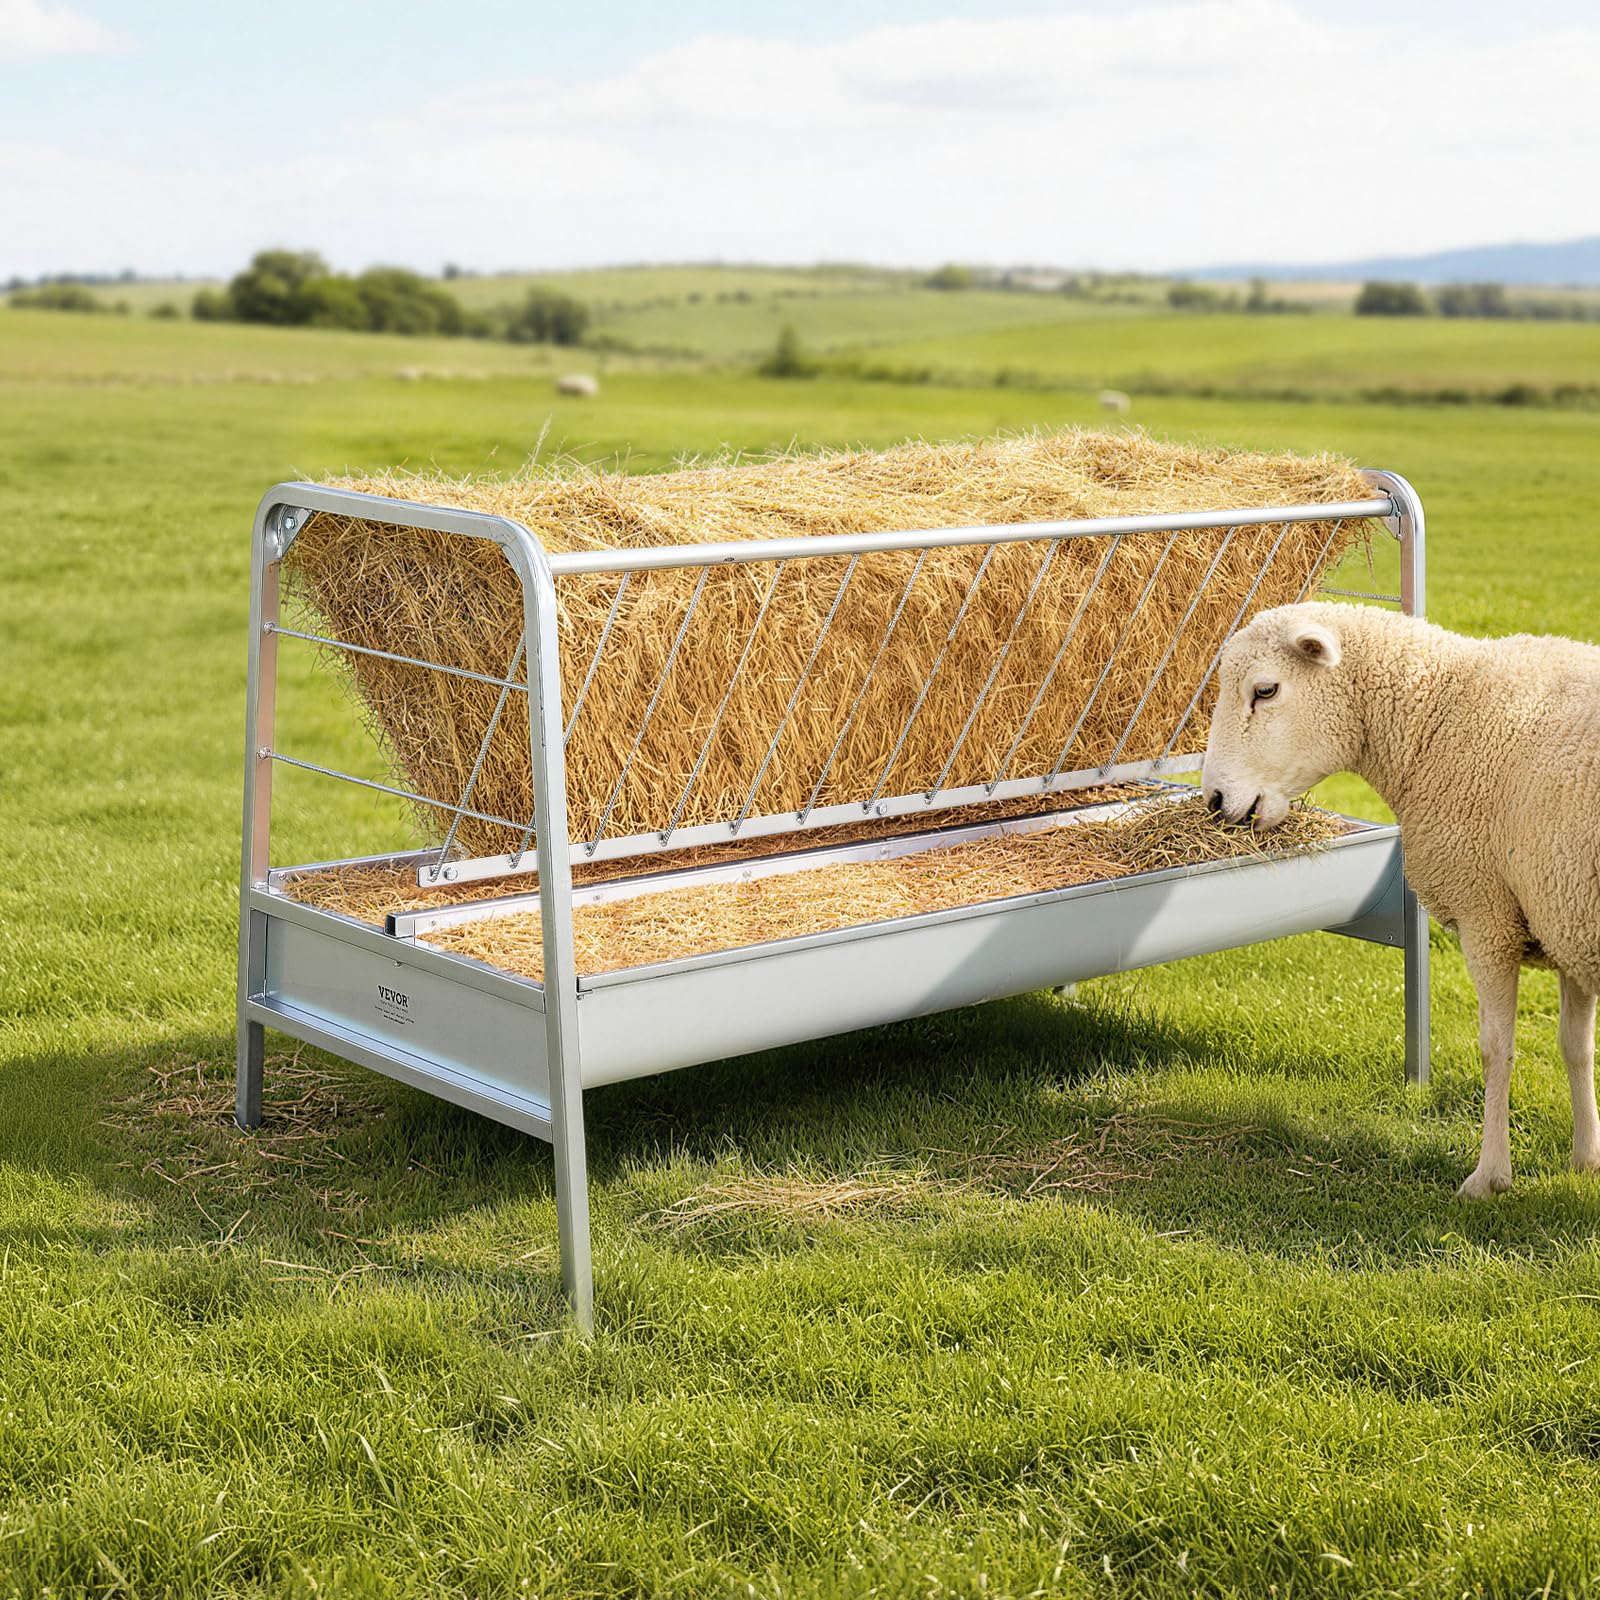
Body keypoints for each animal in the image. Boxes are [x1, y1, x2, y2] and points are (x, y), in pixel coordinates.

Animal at [1201, 601, 1600, 1199]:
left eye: (1265, 690)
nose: (1215, 800)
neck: (1436, 718)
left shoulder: (1488, 913)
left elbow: (1495, 1049)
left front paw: (1488, 1177)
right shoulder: (1560, 914)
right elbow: (1575, 1046)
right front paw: (1586, 1159)